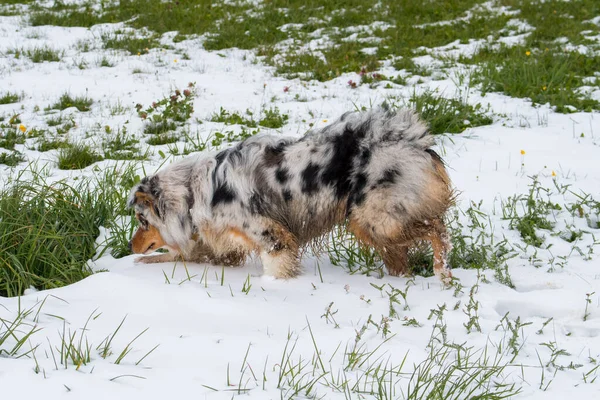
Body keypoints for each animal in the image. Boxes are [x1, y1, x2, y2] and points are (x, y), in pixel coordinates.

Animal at [129, 106, 452, 282]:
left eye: (142, 221)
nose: (130, 246)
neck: (192, 196)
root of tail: (413, 138)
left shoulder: (272, 236)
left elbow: (276, 266)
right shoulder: (226, 247)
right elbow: (182, 256)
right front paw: (141, 264)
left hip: (375, 219)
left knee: (436, 228)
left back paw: (442, 272)